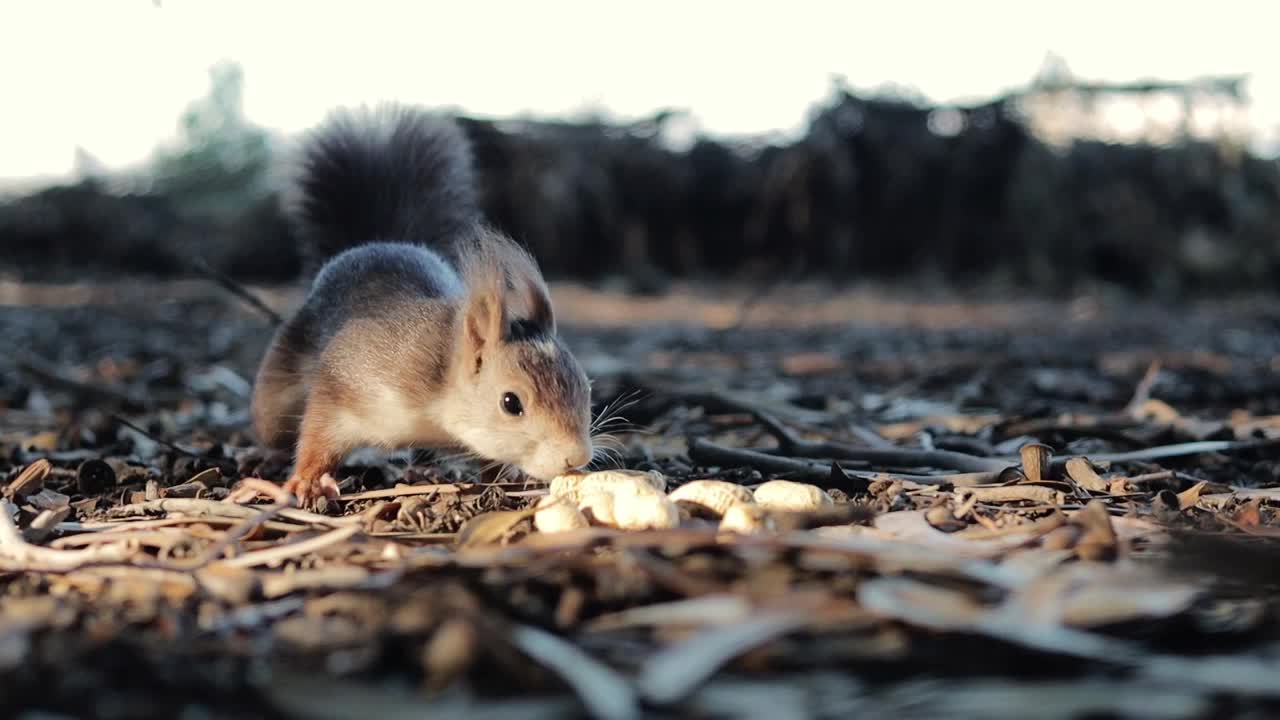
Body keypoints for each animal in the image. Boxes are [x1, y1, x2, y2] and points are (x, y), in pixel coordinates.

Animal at [252, 103, 596, 507]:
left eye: (586, 387)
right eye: (511, 403)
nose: (576, 456)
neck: (441, 392)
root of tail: (371, 243)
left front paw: (507, 475)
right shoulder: (350, 377)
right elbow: (319, 429)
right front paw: (309, 480)